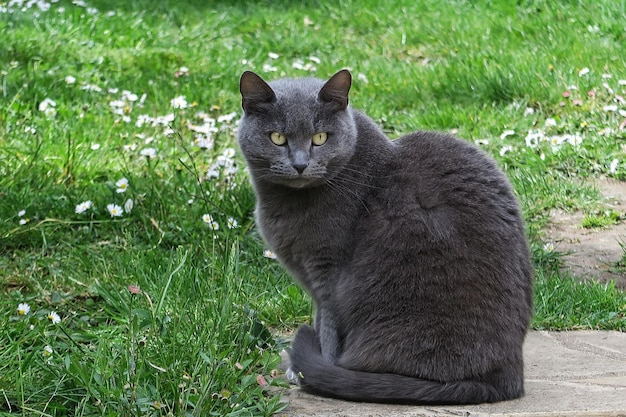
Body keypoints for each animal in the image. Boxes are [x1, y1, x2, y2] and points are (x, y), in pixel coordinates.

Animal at [236, 69, 528, 404]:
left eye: (320, 138)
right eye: (277, 138)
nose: (300, 165)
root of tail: (506, 378)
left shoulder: (329, 270)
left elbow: (328, 324)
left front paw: (314, 368)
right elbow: (319, 318)